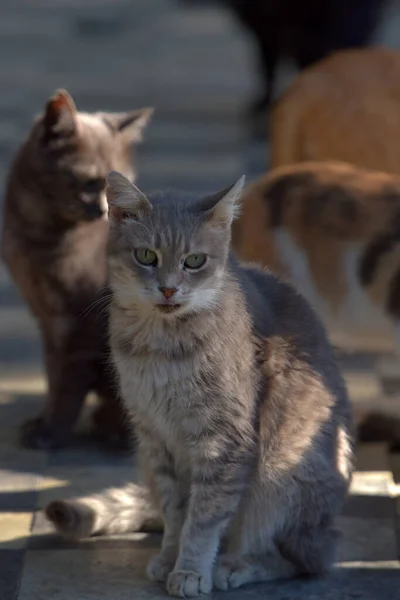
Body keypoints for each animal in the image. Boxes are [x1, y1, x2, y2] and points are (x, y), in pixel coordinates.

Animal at [1, 90, 153, 450]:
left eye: (122, 187)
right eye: (89, 182)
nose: (105, 211)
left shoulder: (78, 321)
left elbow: (67, 384)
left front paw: (51, 432)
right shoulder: (47, 320)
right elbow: (52, 375)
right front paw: (43, 421)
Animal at [45, 172, 354, 596]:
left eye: (194, 261)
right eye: (146, 256)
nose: (168, 288)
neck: (159, 348)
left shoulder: (224, 441)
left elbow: (204, 519)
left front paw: (191, 570)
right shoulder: (155, 439)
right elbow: (176, 513)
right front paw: (170, 557)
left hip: (282, 474)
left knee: (302, 558)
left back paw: (237, 565)